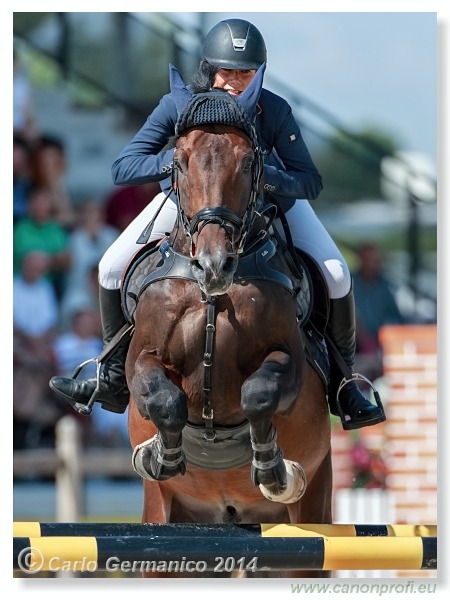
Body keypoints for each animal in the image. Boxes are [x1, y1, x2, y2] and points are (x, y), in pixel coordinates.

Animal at [125, 64, 332, 576]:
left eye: (249, 163)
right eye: (178, 162)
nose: (214, 266)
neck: (212, 296)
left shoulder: (291, 363)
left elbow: (260, 392)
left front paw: (274, 469)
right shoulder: (141, 360)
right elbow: (162, 397)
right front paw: (158, 454)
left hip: (310, 516)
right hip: (164, 527)